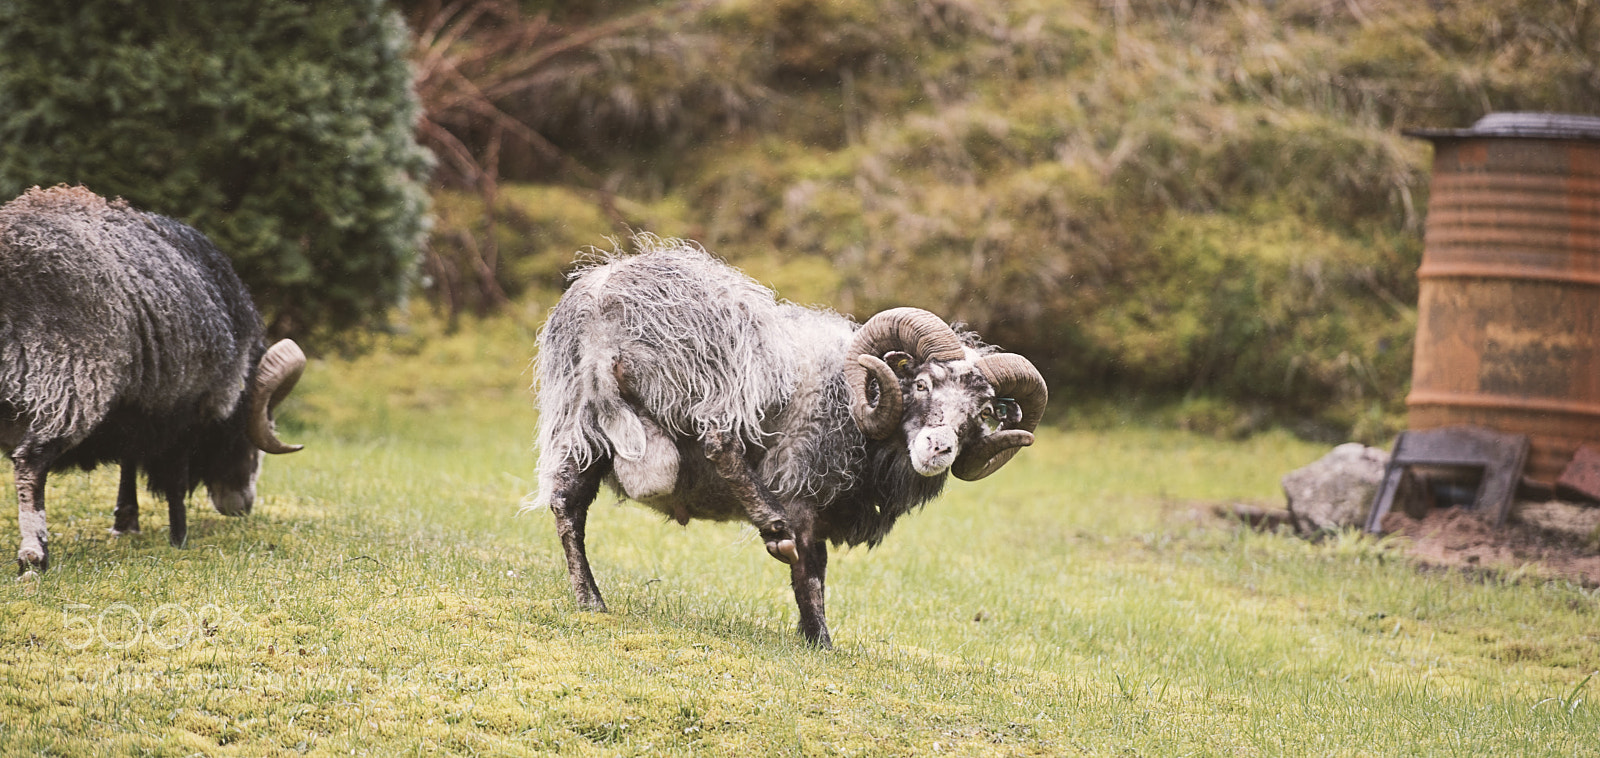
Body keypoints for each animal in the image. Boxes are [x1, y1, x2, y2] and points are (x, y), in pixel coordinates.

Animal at [0, 186, 306, 575]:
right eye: (243, 438)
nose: (242, 506)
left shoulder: (139, 402)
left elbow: (129, 461)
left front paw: (126, 523)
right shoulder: (182, 406)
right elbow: (174, 477)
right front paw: (179, 538)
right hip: (69, 380)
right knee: (31, 463)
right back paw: (34, 555)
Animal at [532, 237, 1046, 646]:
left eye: (981, 413)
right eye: (922, 384)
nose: (939, 448)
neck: (854, 402)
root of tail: (603, 308)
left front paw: (810, 633)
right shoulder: (801, 487)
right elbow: (810, 573)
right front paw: (819, 640)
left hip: (579, 418)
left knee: (567, 505)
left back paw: (589, 599)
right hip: (714, 369)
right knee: (719, 442)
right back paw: (767, 522)